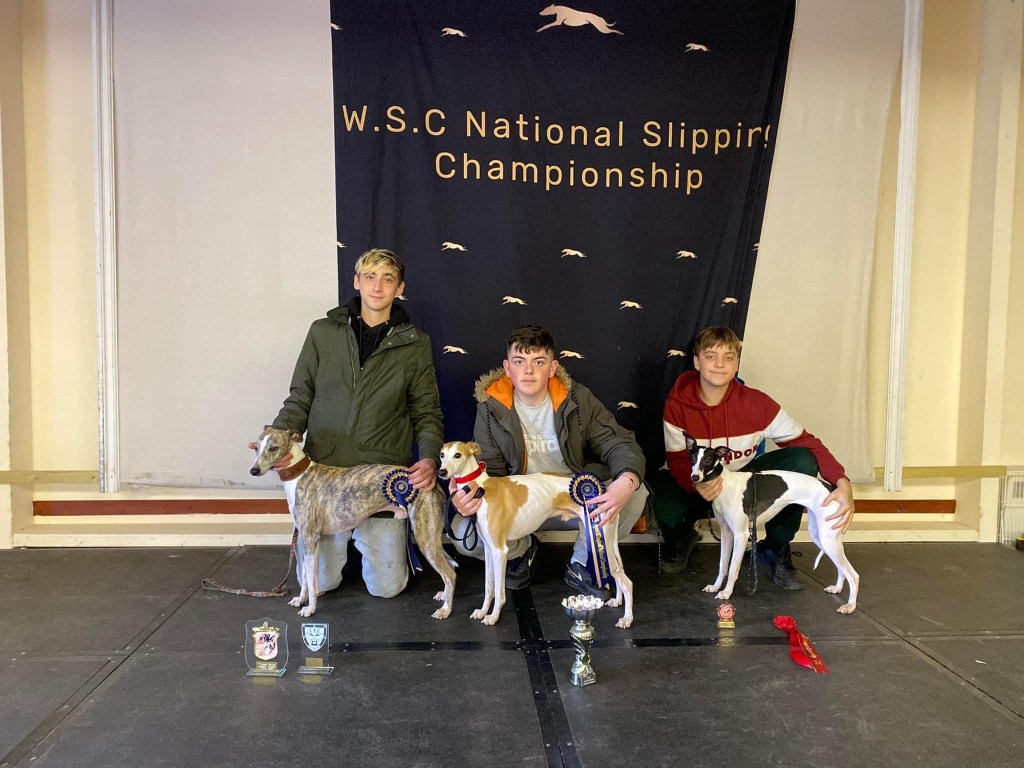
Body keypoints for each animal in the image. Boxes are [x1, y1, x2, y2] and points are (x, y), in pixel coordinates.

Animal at [250, 426, 456, 619]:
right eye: (257, 447)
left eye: (273, 448)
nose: (253, 471)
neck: (299, 476)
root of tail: (435, 485)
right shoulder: (307, 539)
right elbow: (307, 577)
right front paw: (301, 600)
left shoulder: (310, 537)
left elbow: (312, 581)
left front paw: (310, 608)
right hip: (431, 536)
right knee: (450, 565)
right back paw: (443, 595)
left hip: (424, 537)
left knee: (450, 574)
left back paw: (445, 610)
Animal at [438, 441, 633, 628]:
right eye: (442, 455)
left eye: (458, 455)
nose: (441, 472)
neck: (481, 488)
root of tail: (605, 492)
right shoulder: (489, 549)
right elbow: (489, 587)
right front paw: (482, 611)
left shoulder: (499, 551)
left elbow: (499, 592)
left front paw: (493, 617)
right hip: (604, 543)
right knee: (618, 573)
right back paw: (617, 601)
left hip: (600, 540)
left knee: (627, 583)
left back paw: (627, 619)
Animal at [683, 433, 859, 614]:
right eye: (692, 458)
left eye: (708, 459)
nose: (694, 477)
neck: (725, 483)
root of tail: (831, 489)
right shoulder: (726, 534)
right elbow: (723, 566)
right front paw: (716, 587)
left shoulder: (741, 535)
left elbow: (732, 569)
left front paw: (726, 592)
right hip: (820, 535)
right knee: (841, 569)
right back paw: (837, 589)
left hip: (828, 539)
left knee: (853, 575)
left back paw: (850, 606)